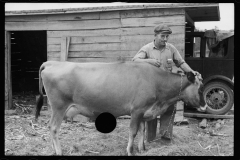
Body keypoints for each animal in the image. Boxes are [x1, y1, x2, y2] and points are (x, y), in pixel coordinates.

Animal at [35, 60, 206, 155]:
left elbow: (142, 131)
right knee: (54, 128)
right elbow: (133, 131)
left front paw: (142, 149)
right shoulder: (136, 110)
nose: (204, 106)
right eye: (200, 89)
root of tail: (52, 62)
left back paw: (53, 149)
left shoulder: (143, 111)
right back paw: (59, 151)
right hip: (59, 106)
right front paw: (130, 151)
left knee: (50, 126)